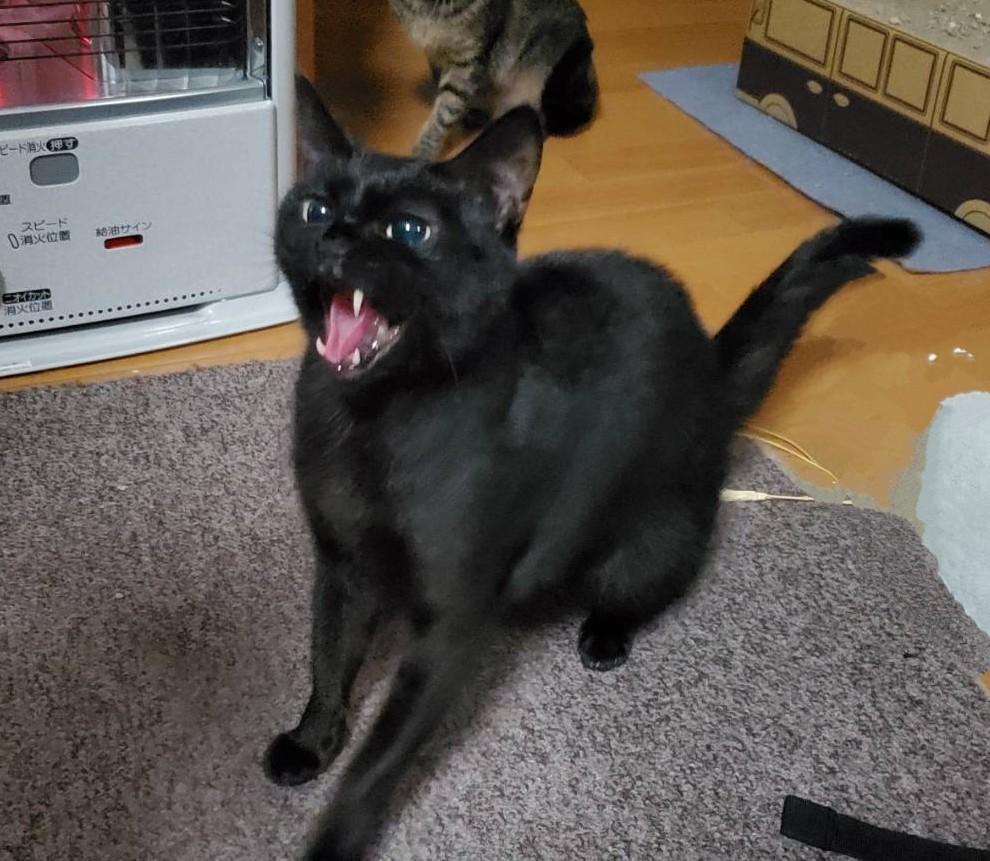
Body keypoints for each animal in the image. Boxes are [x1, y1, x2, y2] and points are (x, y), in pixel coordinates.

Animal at [265, 74, 920, 861]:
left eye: (410, 233)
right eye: (315, 207)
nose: (335, 236)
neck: (370, 424)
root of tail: (710, 365)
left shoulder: (451, 618)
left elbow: (379, 758)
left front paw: (335, 836)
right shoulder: (341, 562)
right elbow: (328, 656)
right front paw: (312, 741)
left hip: (649, 541)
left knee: (650, 583)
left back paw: (605, 634)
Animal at [389, 0, 599, 158]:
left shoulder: (467, 59)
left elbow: (444, 113)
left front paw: (423, 153)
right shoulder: (435, 56)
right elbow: (444, 98)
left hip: (556, 81)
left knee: (538, 123)